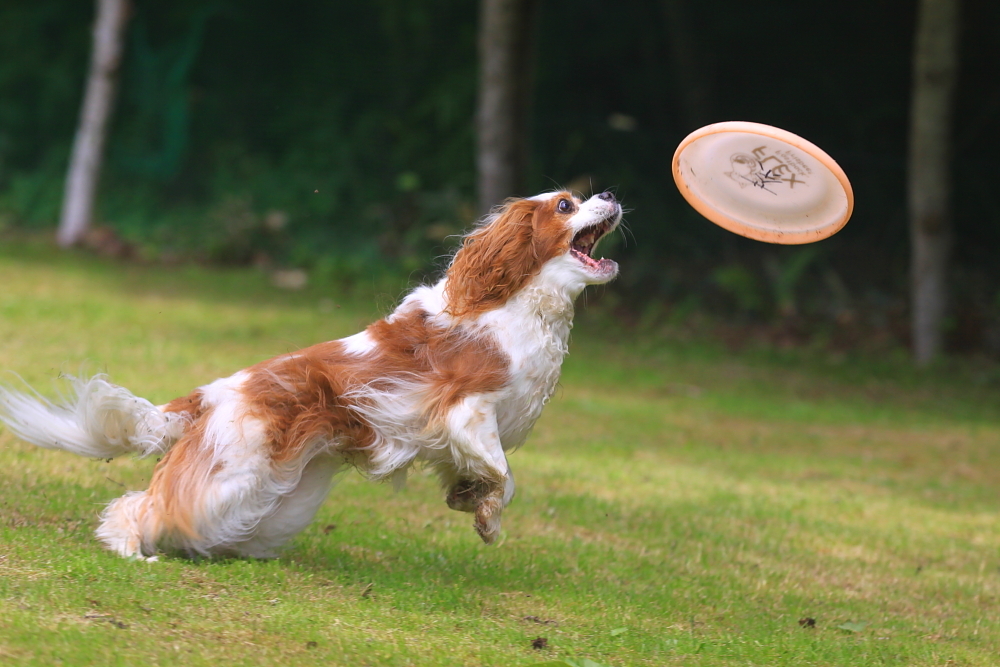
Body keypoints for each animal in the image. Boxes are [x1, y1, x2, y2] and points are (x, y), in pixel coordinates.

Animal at [0, 190, 620, 560]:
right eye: (566, 204)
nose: (609, 194)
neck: (516, 305)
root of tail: (206, 398)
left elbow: (484, 477)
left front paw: (469, 502)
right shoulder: (468, 412)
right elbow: (505, 474)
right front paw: (487, 516)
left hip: (275, 504)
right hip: (230, 478)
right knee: (148, 505)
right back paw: (129, 546)